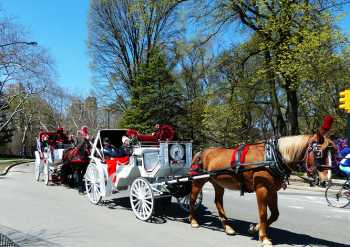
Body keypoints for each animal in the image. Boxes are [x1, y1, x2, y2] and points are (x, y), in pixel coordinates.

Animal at [189, 130, 334, 246]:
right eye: (318, 153)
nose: (326, 181)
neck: (272, 157)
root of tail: (201, 151)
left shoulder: (272, 190)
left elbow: (275, 214)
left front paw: (255, 228)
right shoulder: (261, 188)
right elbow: (263, 214)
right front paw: (264, 237)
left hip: (218, 183)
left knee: (218, 202)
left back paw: (228, 227)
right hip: (198, 181)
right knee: (192, 198)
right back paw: (193, 221)